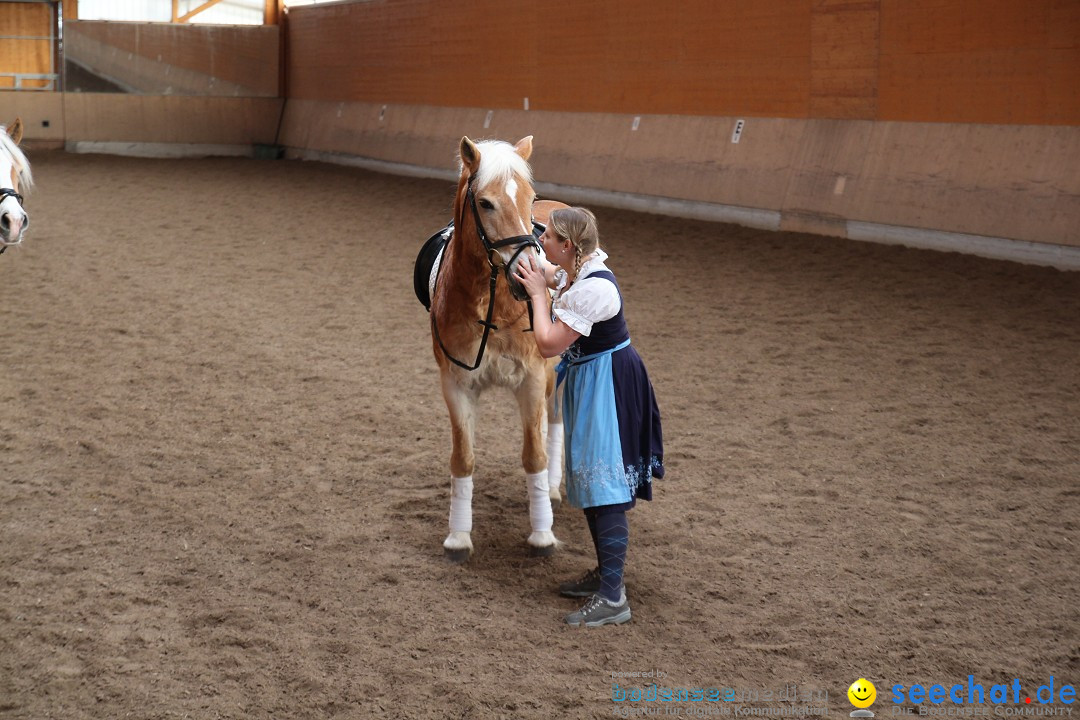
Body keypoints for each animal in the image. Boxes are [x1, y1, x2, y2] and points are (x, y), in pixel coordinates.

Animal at [427, 134, 570, 561]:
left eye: (528, 197)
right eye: (486, 203)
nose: (530, 273)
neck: (489, 299)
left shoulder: (532, 379)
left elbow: (534, 455)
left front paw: (542, 535)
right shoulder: (456, 384)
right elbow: (463, 459)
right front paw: (458, 537)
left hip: (557, 371)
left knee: (556, 421)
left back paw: (552, 489)